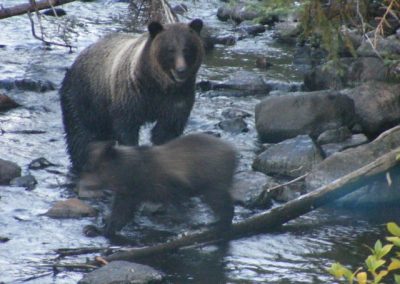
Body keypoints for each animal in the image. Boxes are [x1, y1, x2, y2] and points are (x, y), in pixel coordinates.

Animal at [61, 19, 205, 173]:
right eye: (170, 49)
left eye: (187, 49)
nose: (181, 70)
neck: (155, 83)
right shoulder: (131, 95)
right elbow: (127, 127)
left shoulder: (178, 97)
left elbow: (168, 128)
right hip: (84, 96)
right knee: (80, 134)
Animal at [79, 134, 238, 236]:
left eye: (90, 168)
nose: (80, 183)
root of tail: (233, 151)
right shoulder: (129, 194)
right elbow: (120, 215)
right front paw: (97, 229)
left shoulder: (171, 182)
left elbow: (181, 204)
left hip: (214, 182)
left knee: (221, 201)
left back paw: (220, 223)